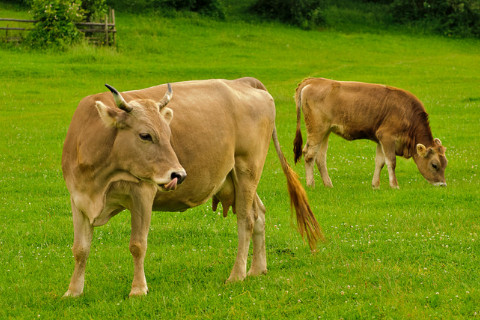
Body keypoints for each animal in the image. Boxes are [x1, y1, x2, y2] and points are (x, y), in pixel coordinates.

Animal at [61, 77, 322, 298]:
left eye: (168, 133)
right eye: (145, 135)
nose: (179, 174)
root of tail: (243, 82)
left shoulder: (142, 194)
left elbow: (137, 245)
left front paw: (138, 289)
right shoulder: (78, 200)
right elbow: (80, 249)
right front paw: (73, 291)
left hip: (248, 169)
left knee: (246, 221)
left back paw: (237, 274)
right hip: (239, 179)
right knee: (259, 213)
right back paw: (257, 269)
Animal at [292, 77, 450, 188]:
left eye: (445, 164)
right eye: (434, 165)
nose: (442, 184)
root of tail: (313, 80)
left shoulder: (380, 139)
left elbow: (379, 162)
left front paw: (376, 185)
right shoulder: (387, 137)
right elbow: (391, 161)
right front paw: (395, 185)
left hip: (326, 132)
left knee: (320, 157)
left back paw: (328, 184)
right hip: (317, 130)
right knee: (309, 154)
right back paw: (310, 184)